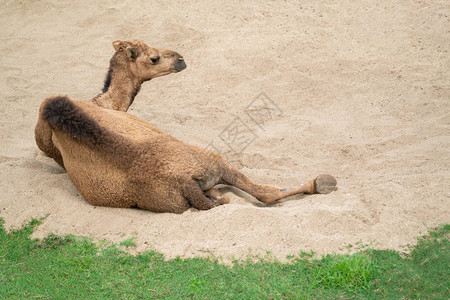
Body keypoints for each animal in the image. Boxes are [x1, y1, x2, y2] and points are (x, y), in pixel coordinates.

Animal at [36, 40, 338, 213]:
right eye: (154, 57)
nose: (181, 59)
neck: (104, 103)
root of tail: (183, 181)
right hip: (213, 160)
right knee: (264, 192)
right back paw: (323, 182)